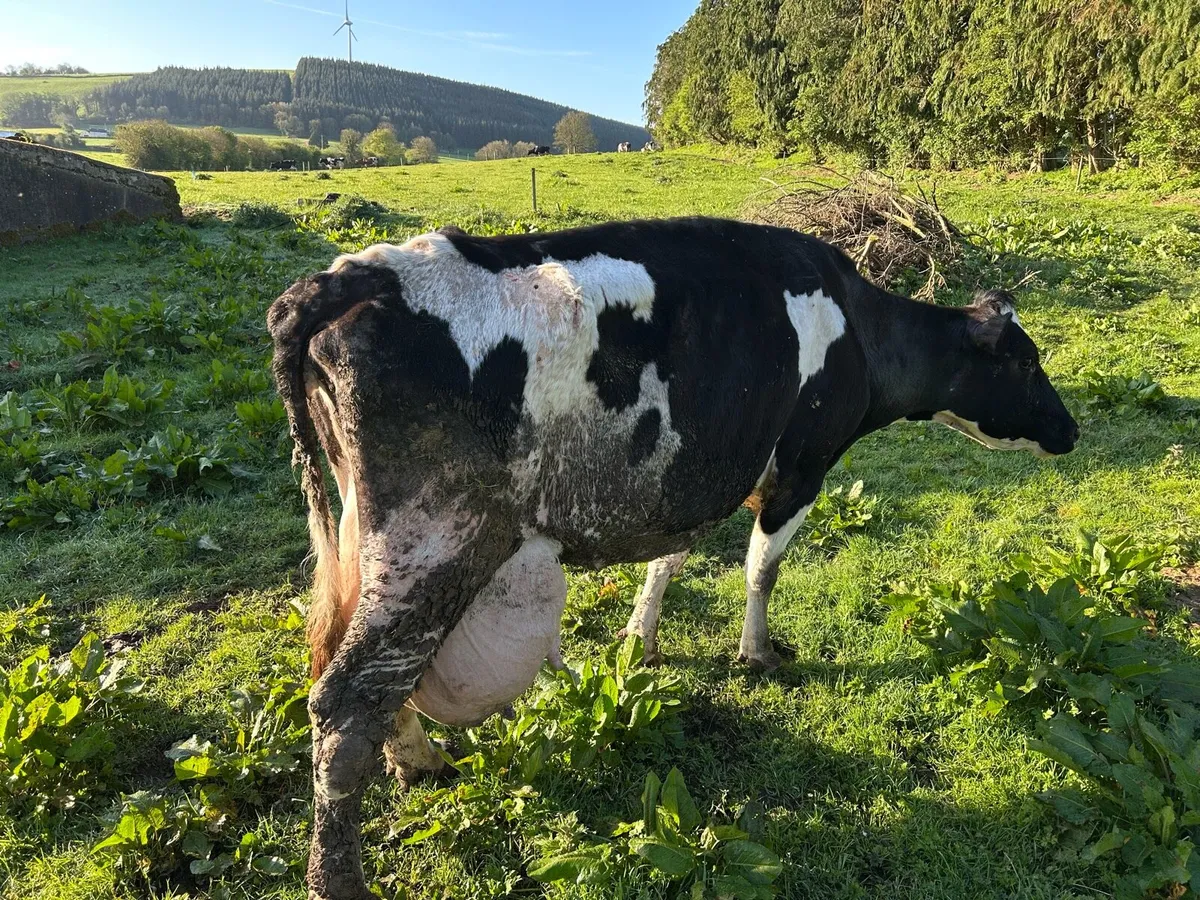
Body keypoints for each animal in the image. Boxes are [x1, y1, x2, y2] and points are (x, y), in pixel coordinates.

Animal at [268, 217, 1077, 899]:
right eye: (1028, 362)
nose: (1070, 430)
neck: (858, 329)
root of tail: (353, 276)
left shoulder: (694, 474)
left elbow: (669, 561)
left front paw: (642, 637)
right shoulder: (802, 466)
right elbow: (761, 569)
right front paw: (757, 652)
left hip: (368, 544)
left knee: (341, 662)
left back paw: (418, 760)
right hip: (435, 542)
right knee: (347, 698)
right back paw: (340, 877)